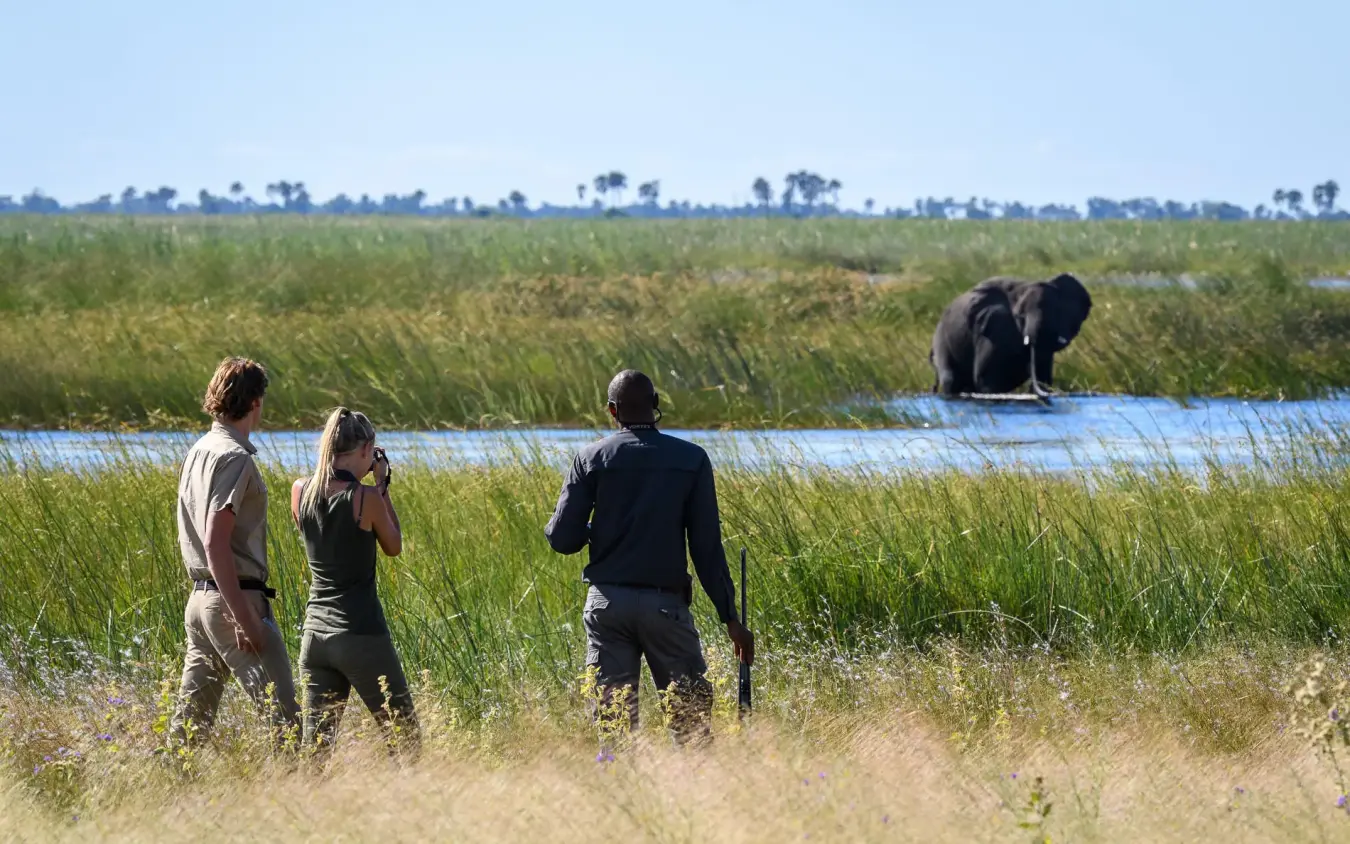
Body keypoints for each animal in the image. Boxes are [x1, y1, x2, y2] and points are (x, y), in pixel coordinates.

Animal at [929, 272, 1092, 398]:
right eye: (1020, 316)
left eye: (1058, 313)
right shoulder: (995, 328)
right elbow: (986, 378)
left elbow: (1043, 374)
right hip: (942, 339)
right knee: (951, 379)